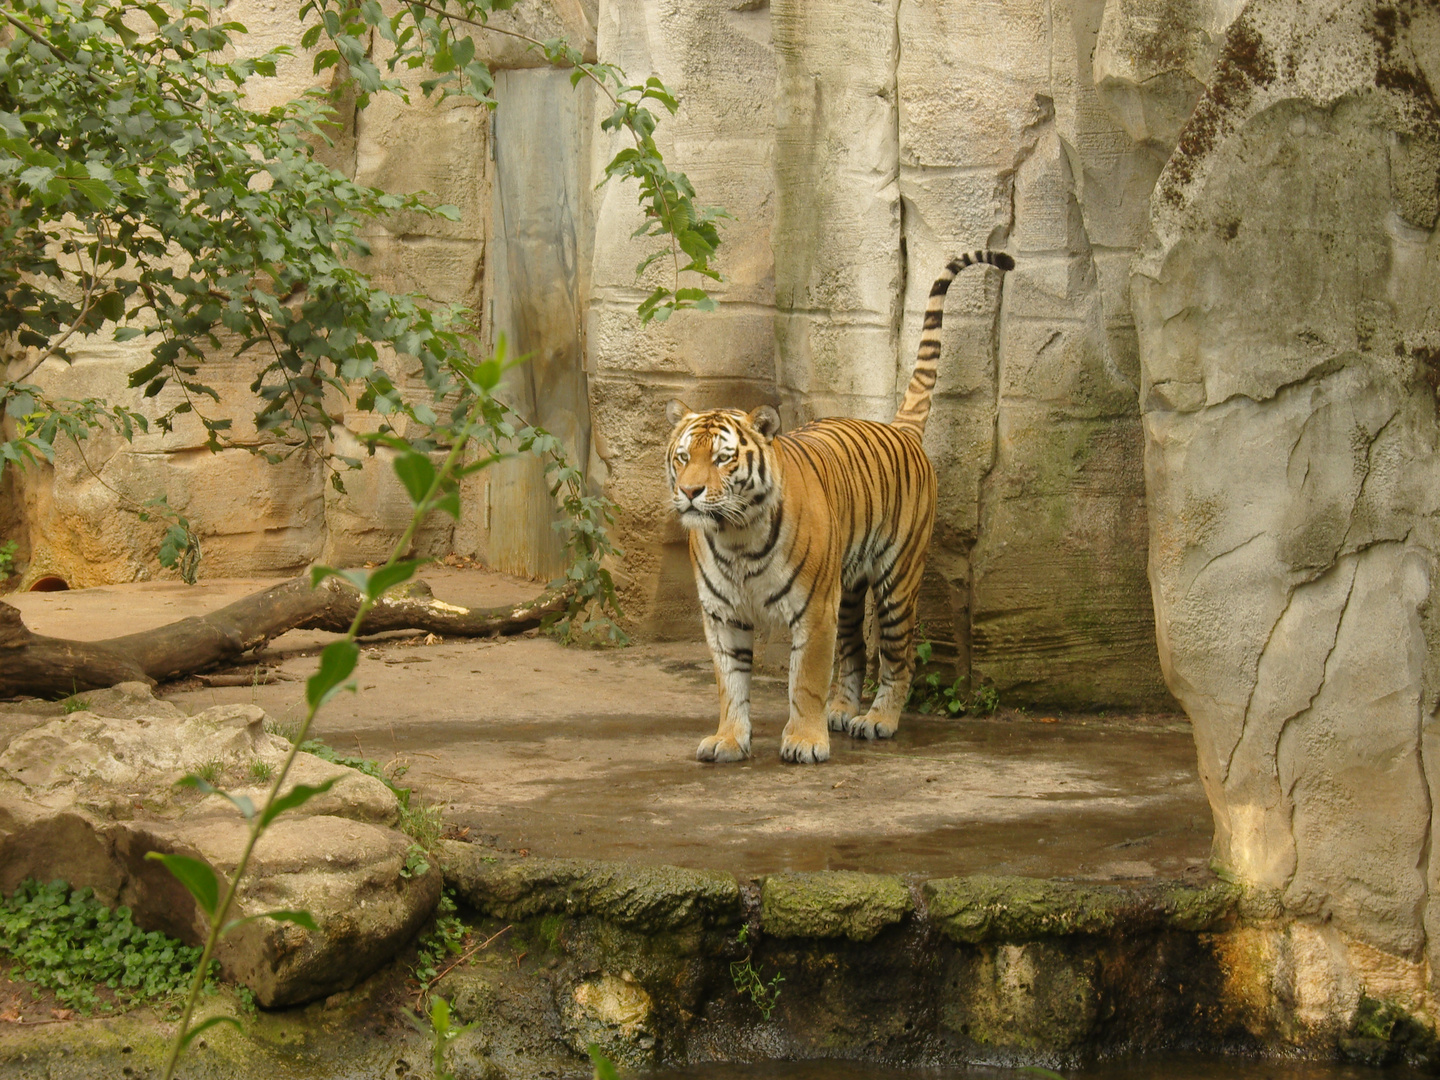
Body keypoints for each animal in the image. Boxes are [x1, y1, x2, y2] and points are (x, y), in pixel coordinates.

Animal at [662, 250, 1013, 766]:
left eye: (723, 458)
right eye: (684, 457)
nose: (690, 492)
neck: (737, 535)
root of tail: (900, 429)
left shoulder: (813, 609)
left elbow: (805, 679)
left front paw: (804, 742)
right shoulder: (723, 614)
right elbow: (730, 684)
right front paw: (729, 738)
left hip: (896, 583)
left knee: (898, 656)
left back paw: (878, 719)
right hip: (848, 592)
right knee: (854, 651)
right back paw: (842, 711)